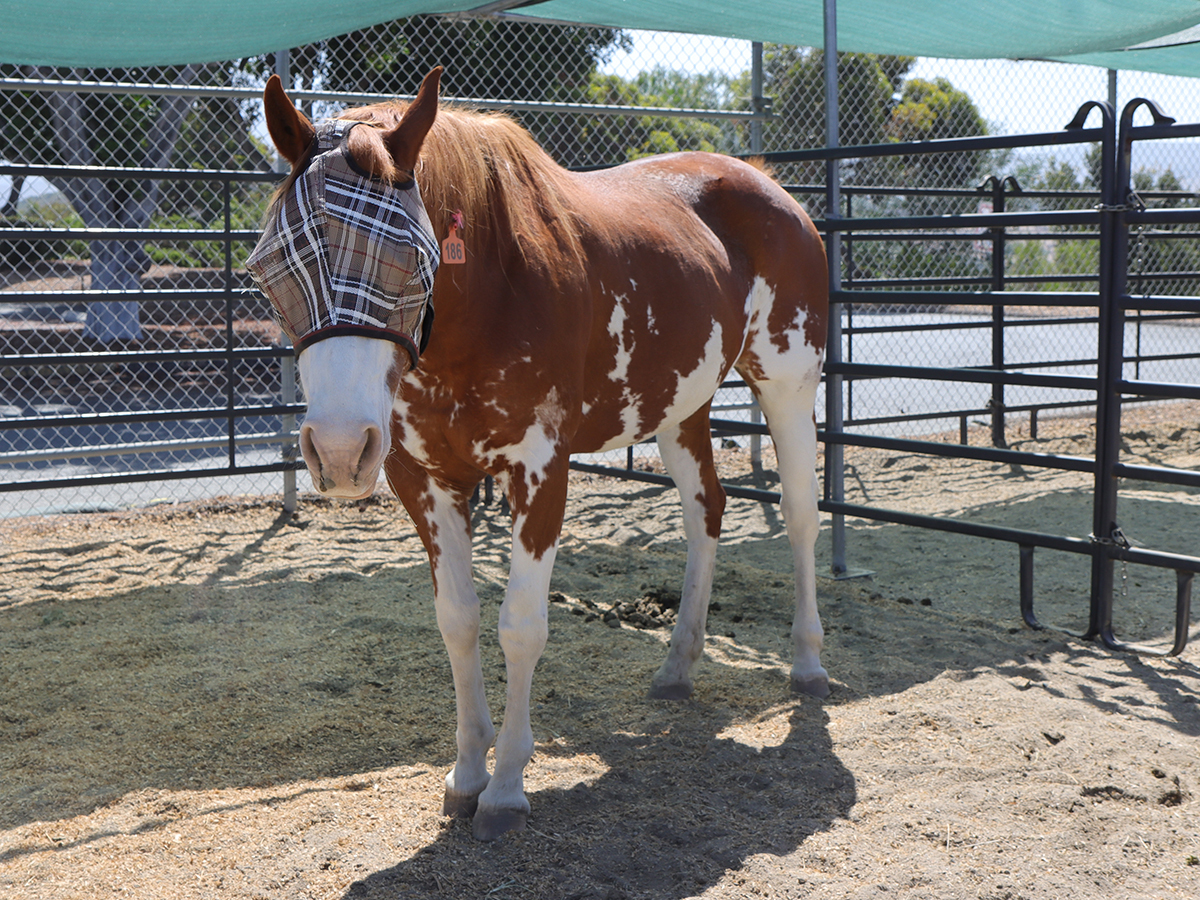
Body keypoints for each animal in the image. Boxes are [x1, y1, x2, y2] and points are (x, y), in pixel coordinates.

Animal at [250, 66, 830, 841]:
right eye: (272, 266)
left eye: (410, 257)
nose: (341, 452)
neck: (490, 294)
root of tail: (769, 184)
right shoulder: (424, 479)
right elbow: (459, 622)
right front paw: (467, 773)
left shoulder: (540, 472)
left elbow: (520, 627)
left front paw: (505, 788)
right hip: (682, 406)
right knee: (705, 509)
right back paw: (678, 665)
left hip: (789, 382)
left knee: (799, 514)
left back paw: (807, 662)